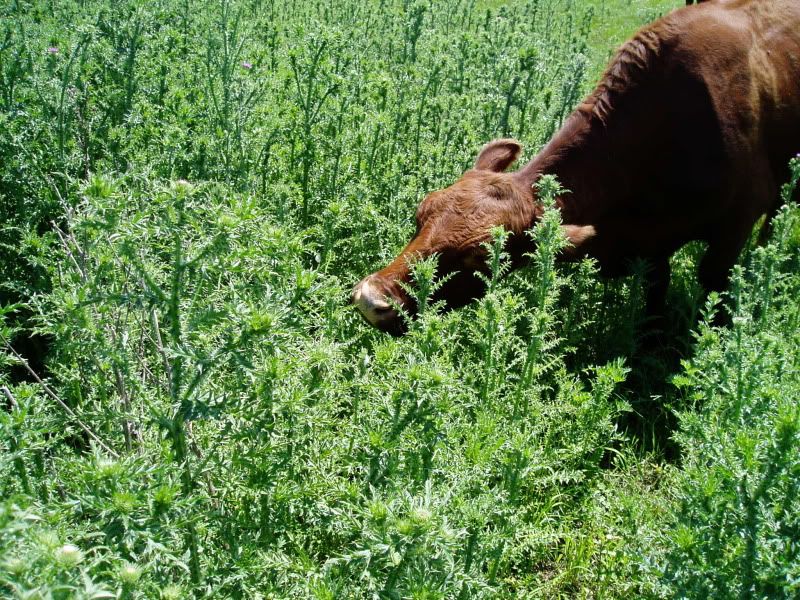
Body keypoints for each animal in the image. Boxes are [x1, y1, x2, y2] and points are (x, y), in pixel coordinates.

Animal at [352, 0, 800, 335]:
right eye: (419, 216)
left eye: (480, 257)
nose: (371, 301)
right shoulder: (654, 243)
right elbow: (656, 295)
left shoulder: (734, 227)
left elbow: (715, 291)